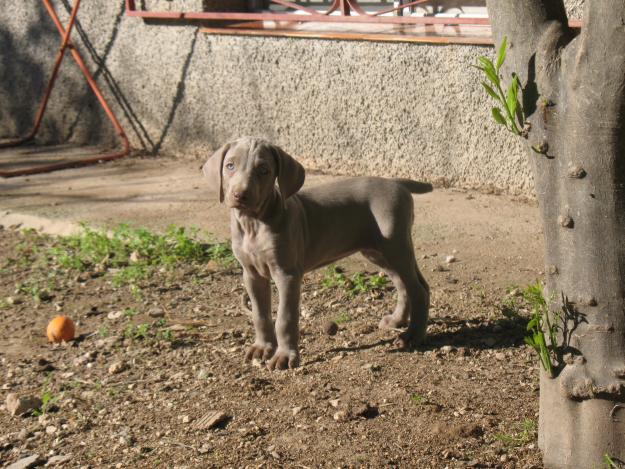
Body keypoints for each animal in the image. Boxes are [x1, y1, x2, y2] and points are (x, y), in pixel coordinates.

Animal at [202, 135, 432, 370]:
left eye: (263, 170)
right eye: (230, 166)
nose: (240, 195)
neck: (253, 224)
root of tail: (397, 183)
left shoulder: (287, 274)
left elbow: (285, 318)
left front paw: (285, 356)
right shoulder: (251, 274)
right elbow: (260, 314)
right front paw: (262, 347)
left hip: (395, 247)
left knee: (418, 290)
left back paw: (412, 335)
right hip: (378, 252)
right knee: (405, 285)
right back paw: (397, 320)